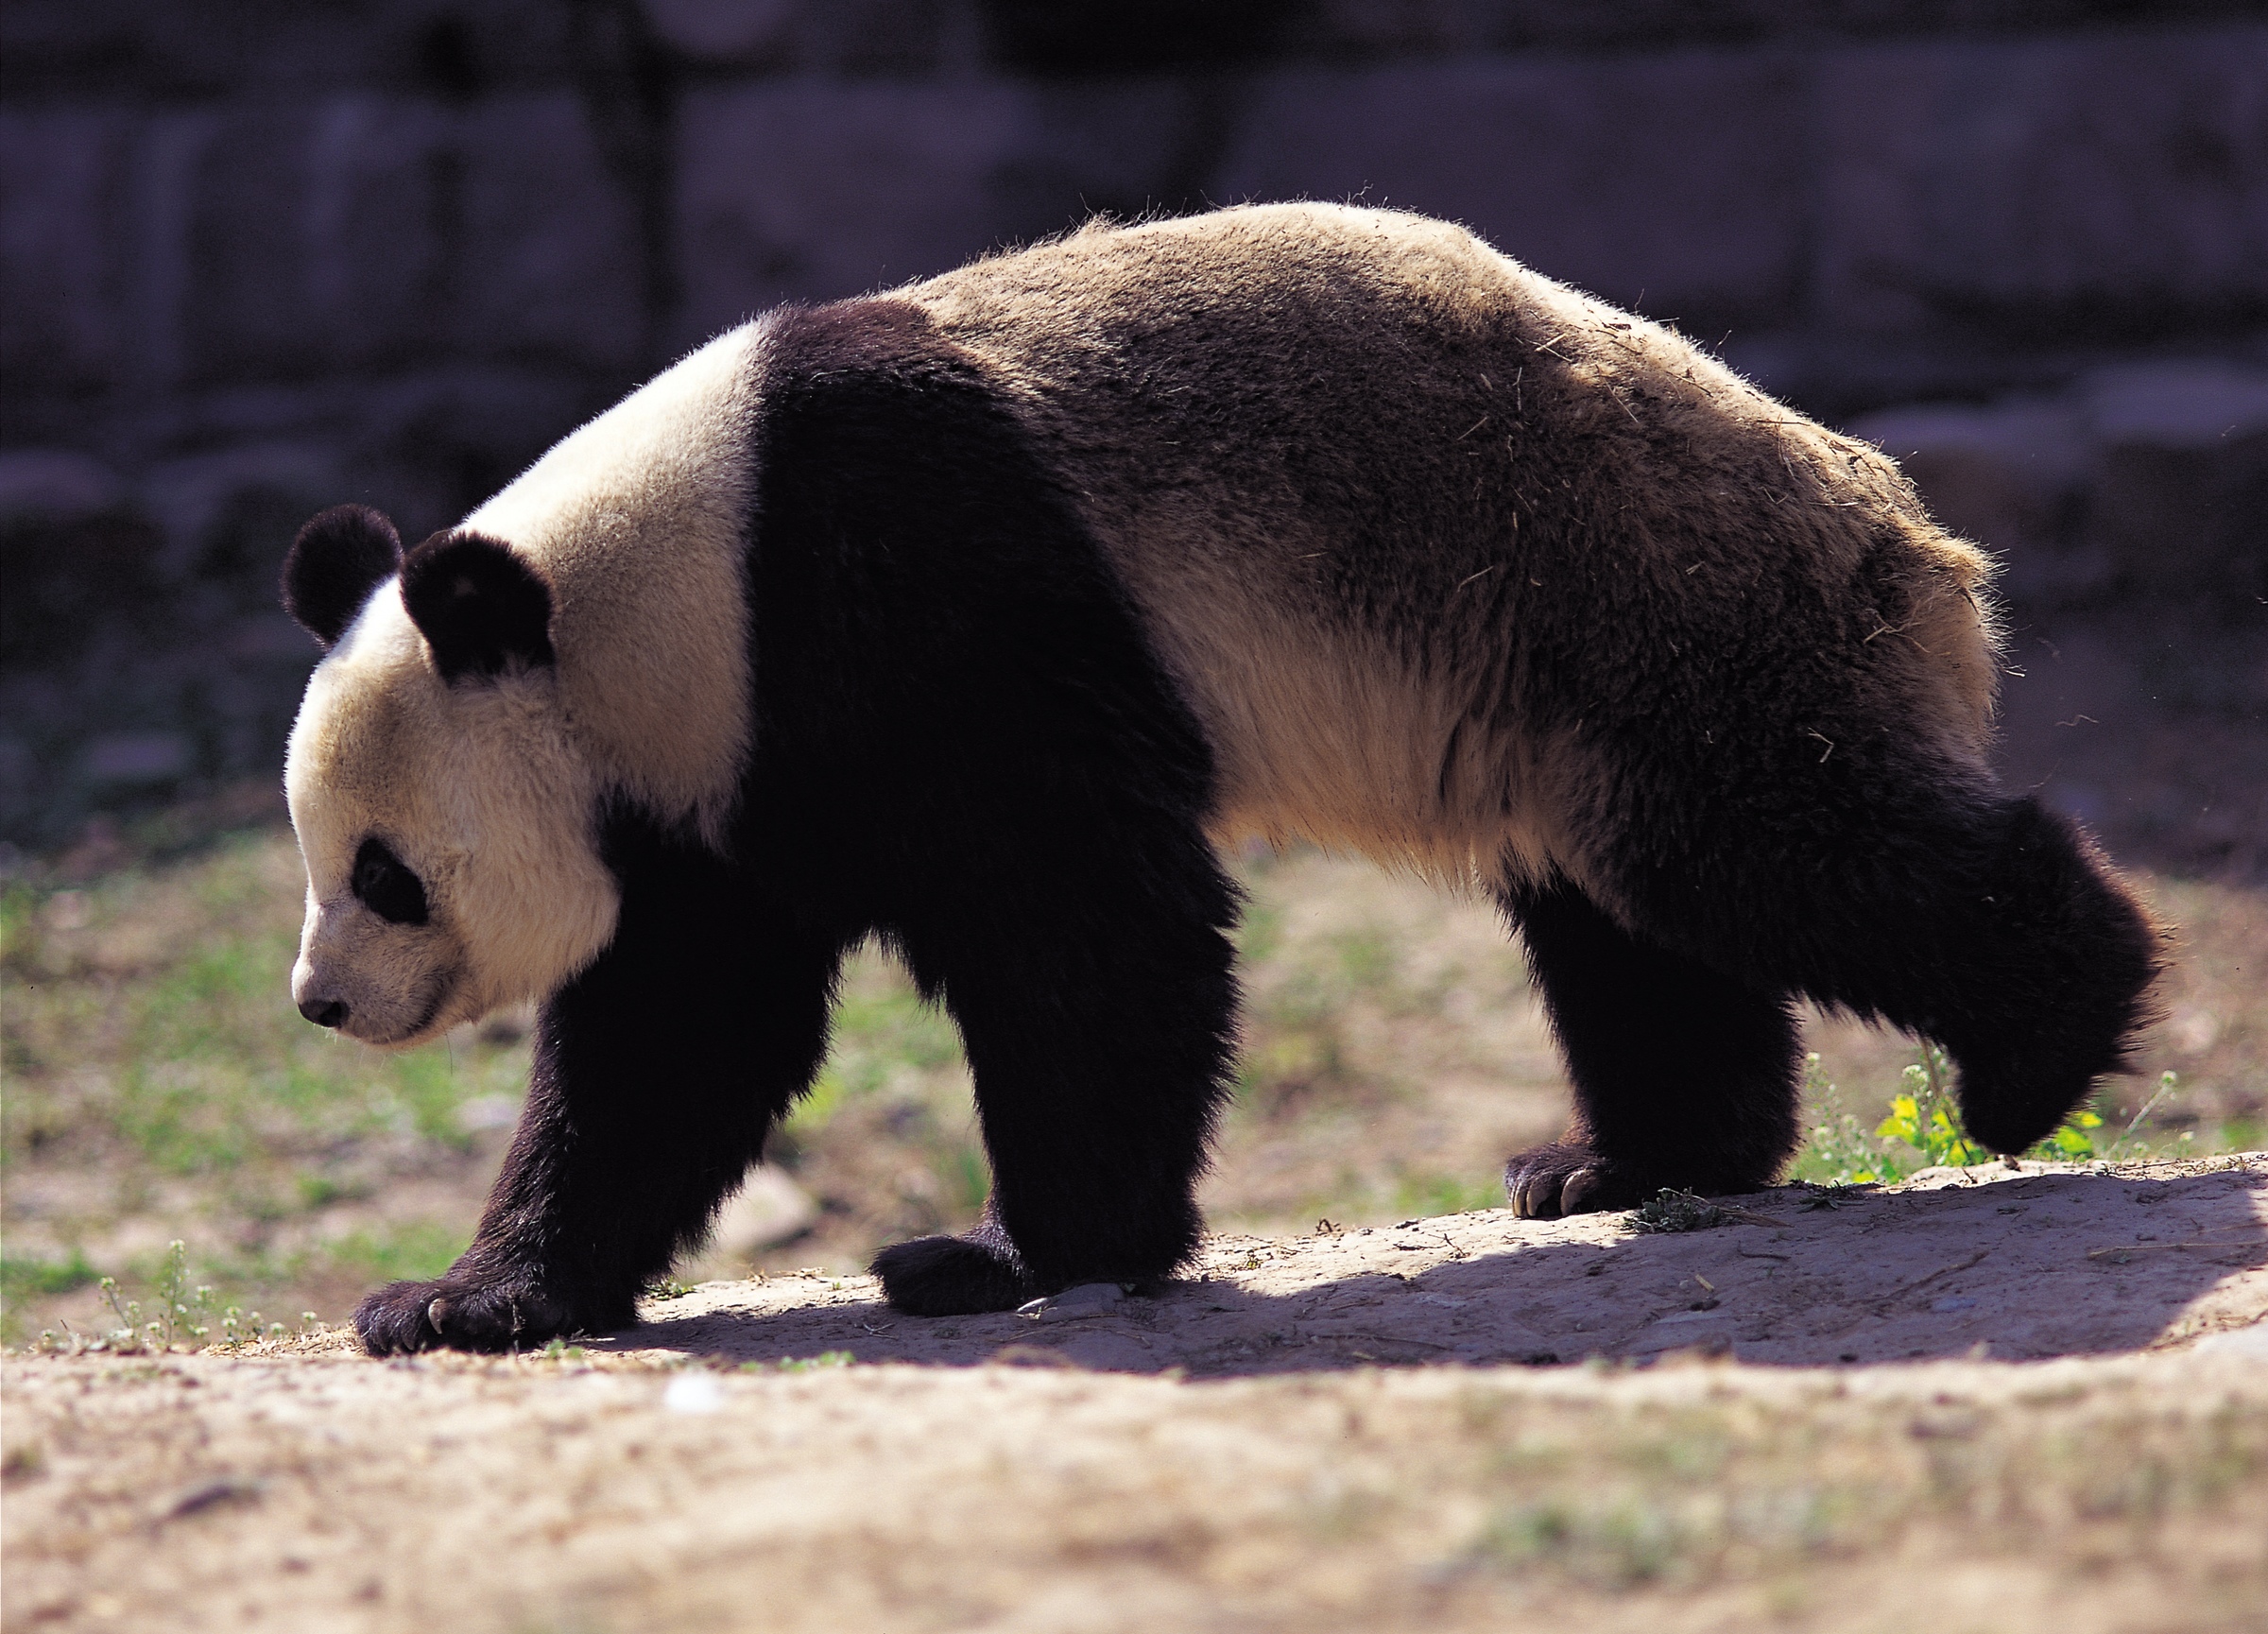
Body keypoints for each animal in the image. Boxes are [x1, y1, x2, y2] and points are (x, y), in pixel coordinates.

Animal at [284, 204, 2158, 1352]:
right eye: (323, 860)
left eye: (386, 870)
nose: (320, 1004)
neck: (667, 575)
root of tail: (1921, 544)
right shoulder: (727, 777)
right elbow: (681, 1032)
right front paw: (463, 1300)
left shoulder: (908, 597)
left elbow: (1081, 923)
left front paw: (1015, 1254)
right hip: (1571, 683)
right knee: (1632, 916)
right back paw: (1628, 1163)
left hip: (1651, 595)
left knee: (1773, 839)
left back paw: (2037, 1047)